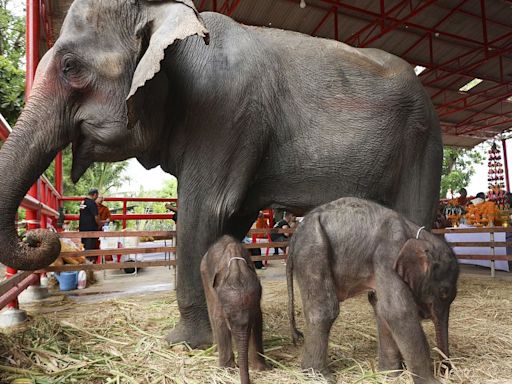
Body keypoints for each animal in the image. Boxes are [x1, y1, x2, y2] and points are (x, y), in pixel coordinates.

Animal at [0, 0, 442, 348]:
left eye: (70, 67)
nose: (40, 234)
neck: (168, 17)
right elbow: (231, 220)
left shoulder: (224, 113)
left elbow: (204, 210)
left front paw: (186, 343)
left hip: (423, 141)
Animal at [200, 236, 268, 382]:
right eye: (228, 318)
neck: (236, 267)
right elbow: (219, 319)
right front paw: (227, 370)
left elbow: (259, 320)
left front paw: (261, 369)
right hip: (204, 273)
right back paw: (215, 350)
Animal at [288, 198, 460, 384]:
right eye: (444, 292)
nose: (445, 371)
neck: (418, 234)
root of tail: (296, 233)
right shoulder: (388, 254)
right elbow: (397, 311)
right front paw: (431, 382)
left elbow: (381, 309)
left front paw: (389, 375)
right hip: (313, 251)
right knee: (324, 310)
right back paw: (319, 376)